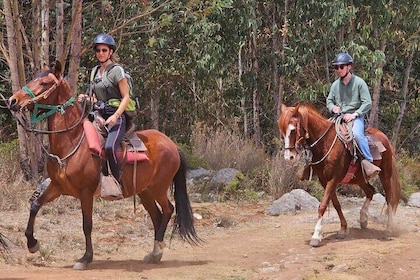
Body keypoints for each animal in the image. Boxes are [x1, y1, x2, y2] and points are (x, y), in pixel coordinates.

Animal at [6, 61, 200, 270]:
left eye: (43, 83)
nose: (13, 101)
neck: (72, 141)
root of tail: (173, 146)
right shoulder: (57, 187)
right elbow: (35, 206)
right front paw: (32, 244)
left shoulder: (85, 192)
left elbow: (87, 225)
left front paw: (85, 258)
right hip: (145, 191)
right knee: (156, 215)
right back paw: (154, 253)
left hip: (158, 187)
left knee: (168, 210)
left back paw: (158, 250)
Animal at [278, 103, 400, 247]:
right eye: (282, 130)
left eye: (292, 130)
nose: (289, 157)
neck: (325, 143)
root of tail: (384, 137)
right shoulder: (324, 181)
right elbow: (336, 204)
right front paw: (343, 229)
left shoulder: (333, 179)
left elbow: (323, 205)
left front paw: (316, 236)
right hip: (359, 178)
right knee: (370, 191)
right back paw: (363, 219)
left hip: (385, 173)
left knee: (390, 198)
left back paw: (389, 228)